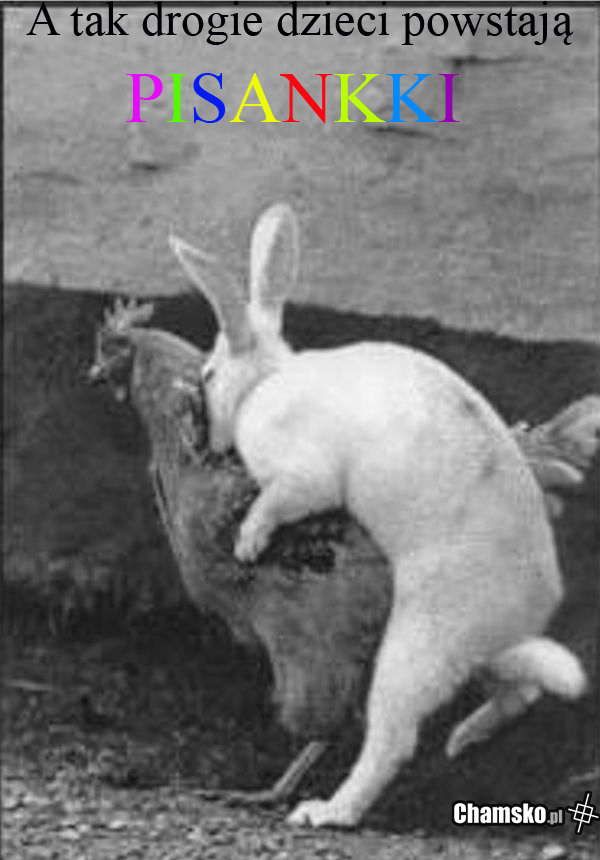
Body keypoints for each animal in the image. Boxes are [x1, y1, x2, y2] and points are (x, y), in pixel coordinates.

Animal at [169, 206, 587, 828]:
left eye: (212, 374)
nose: (209, 438)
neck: (267, 383)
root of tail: (522, 610)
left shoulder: (301, 476)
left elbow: (278, 502)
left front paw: (247, 543)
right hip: (473, 656)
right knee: (518, 692)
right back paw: (464, 739)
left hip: (416, 645)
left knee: (392, 741)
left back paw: (327, 811)